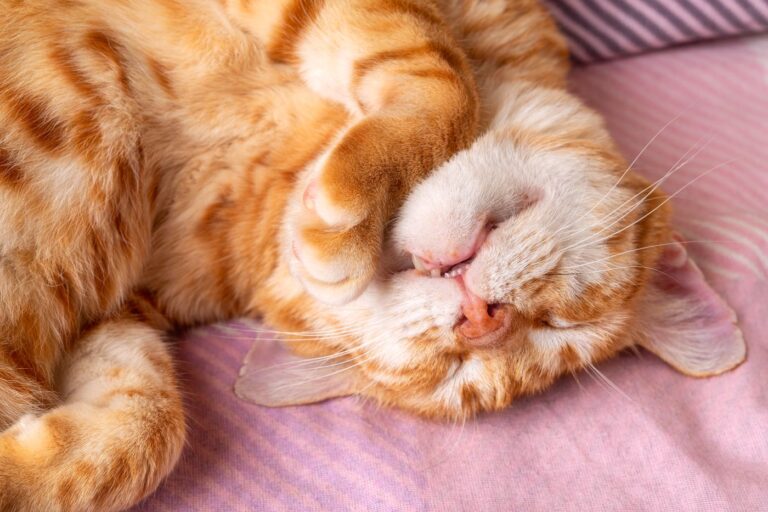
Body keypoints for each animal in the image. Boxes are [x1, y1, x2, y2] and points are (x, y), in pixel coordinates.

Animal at [0, 0, 744, 510]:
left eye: (450, 372)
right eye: (561, 324)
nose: (482, 319)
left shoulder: (119, 316)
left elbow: (148, 426)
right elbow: (438, 71)